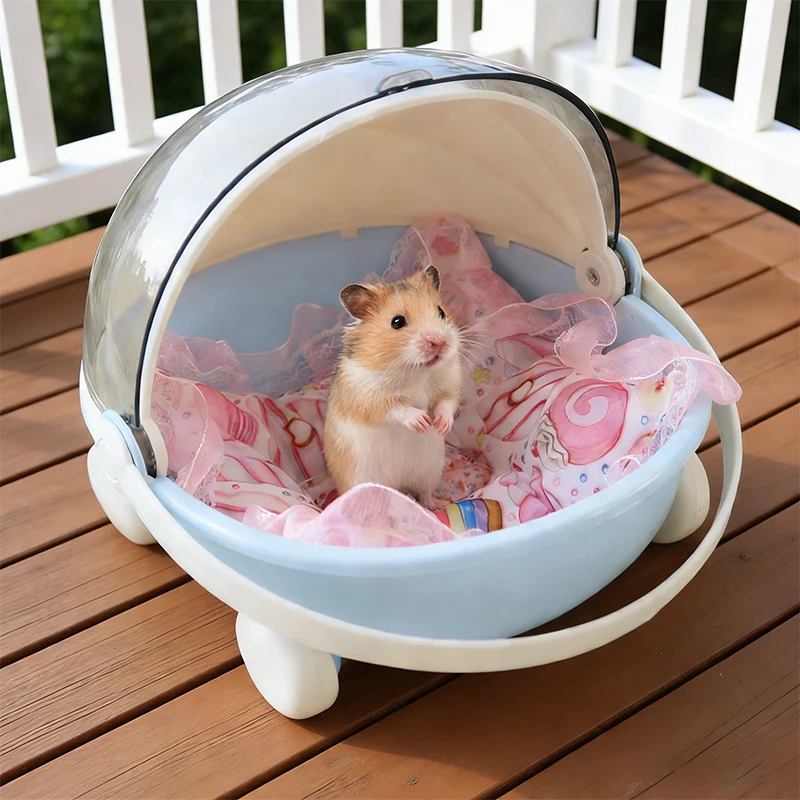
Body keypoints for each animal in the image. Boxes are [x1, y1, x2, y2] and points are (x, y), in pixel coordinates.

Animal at [324, 265, 462, 510]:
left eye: (441, 312)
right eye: (397, 322)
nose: (439, 342)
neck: (416, 372)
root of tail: (401, 487)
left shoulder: (450, 380)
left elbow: (447, 402)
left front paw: (440, 425)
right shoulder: (367, 396)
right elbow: (397, 408)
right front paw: (422, 422)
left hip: (431, 471)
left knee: (424, 493)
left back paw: (435, 506)